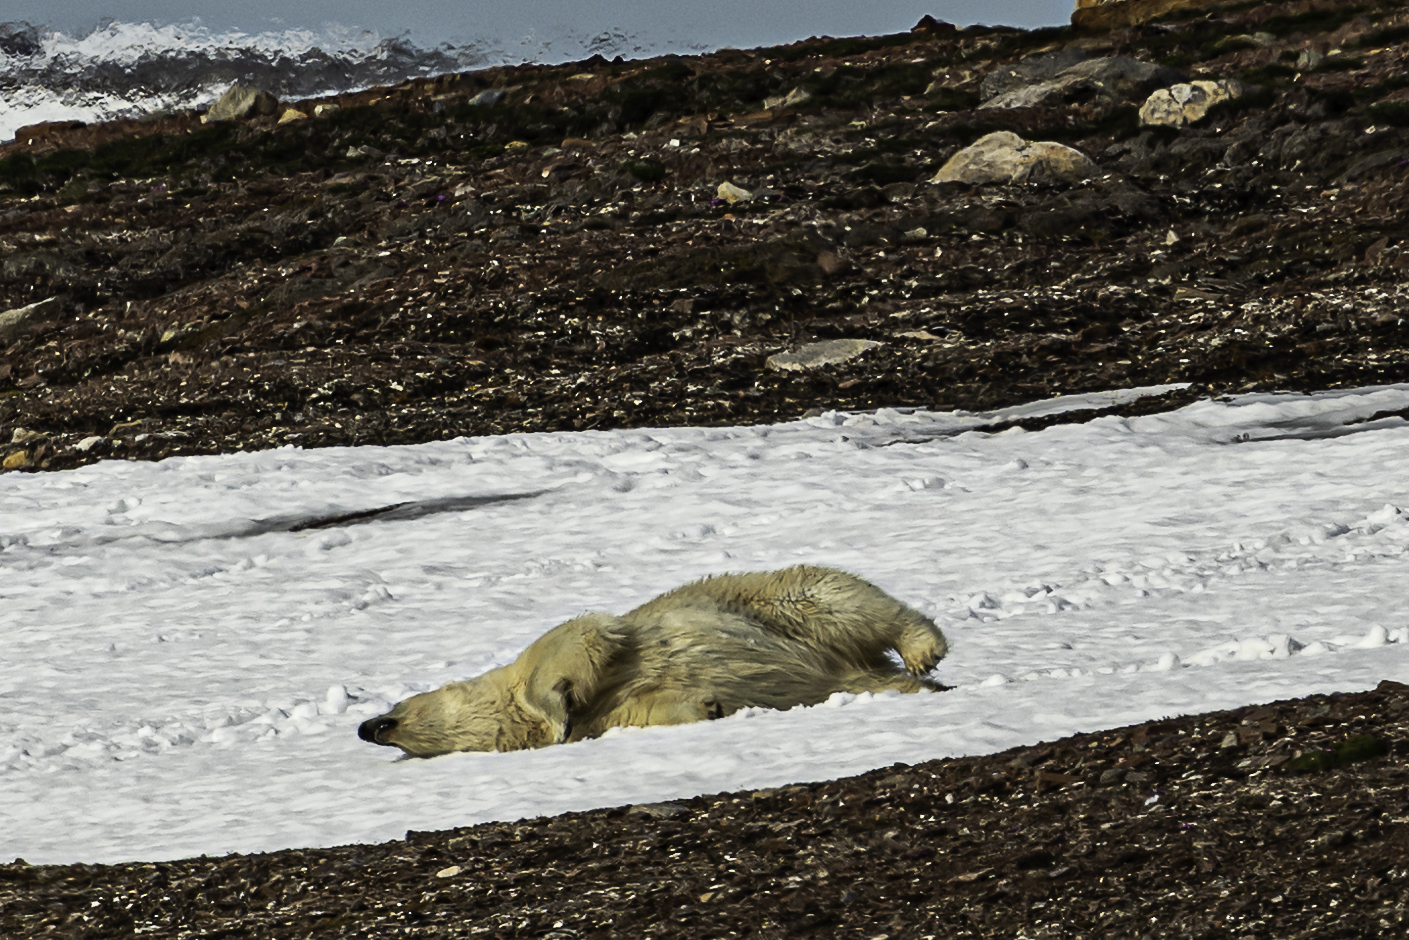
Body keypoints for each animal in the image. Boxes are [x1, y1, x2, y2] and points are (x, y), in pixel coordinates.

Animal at [355, 566, 946, 755]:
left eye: (397, 709)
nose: (366, 727)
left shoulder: (556, 654)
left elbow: (577, 638)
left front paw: (557, 707)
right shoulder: (607, 717)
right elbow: (648, 709)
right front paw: (708, 706)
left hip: (768, 601)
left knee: (840, 600)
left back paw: (924, 651)